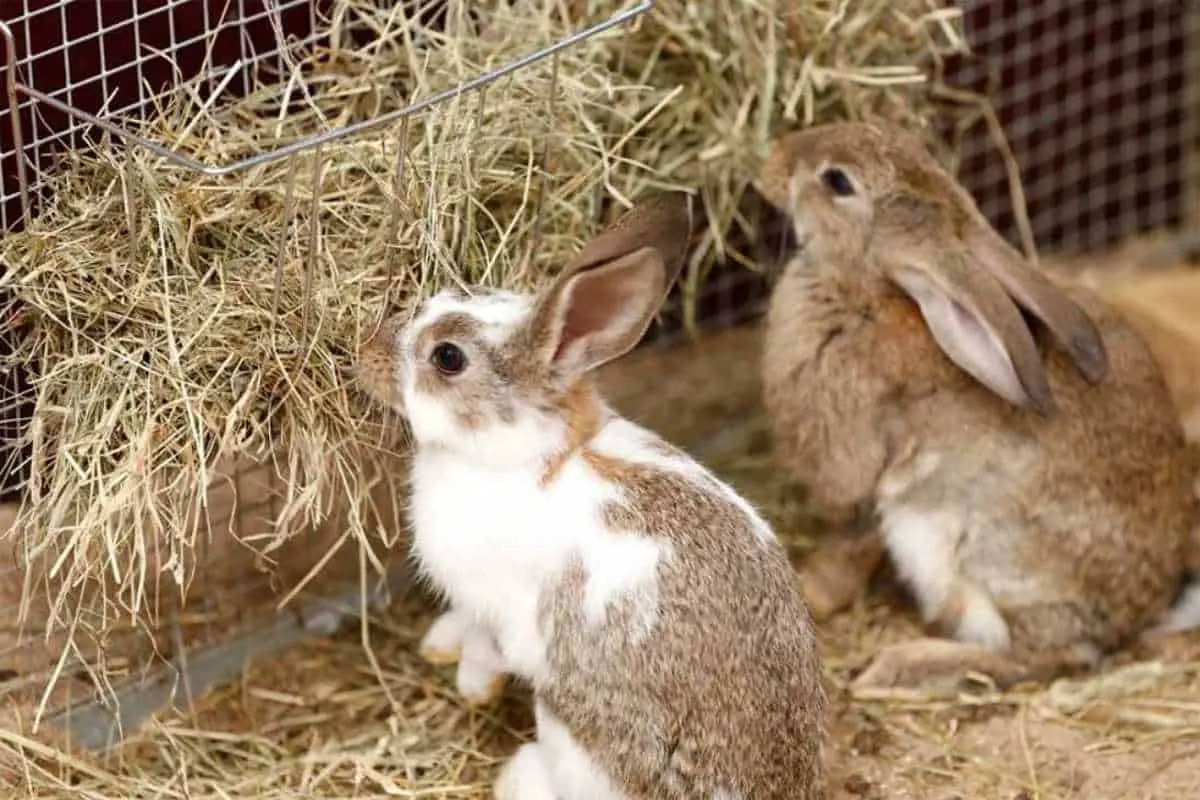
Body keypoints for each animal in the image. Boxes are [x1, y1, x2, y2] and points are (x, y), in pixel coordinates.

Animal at [350, 194, 830, 800]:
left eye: (448, 358)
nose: (364, 352)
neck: (525, 456)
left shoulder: (498, 605)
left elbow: (488, 643)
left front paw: (472, 686)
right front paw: (440, 645)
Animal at [753, 118, 1195, 695]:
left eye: (837, 182)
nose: (774, 158)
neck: (868, 294)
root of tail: (1141, 612)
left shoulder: (862, 474)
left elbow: (847, 546)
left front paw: (811, 592)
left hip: (989, 558)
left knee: (1049, 658)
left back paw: (903, 665)